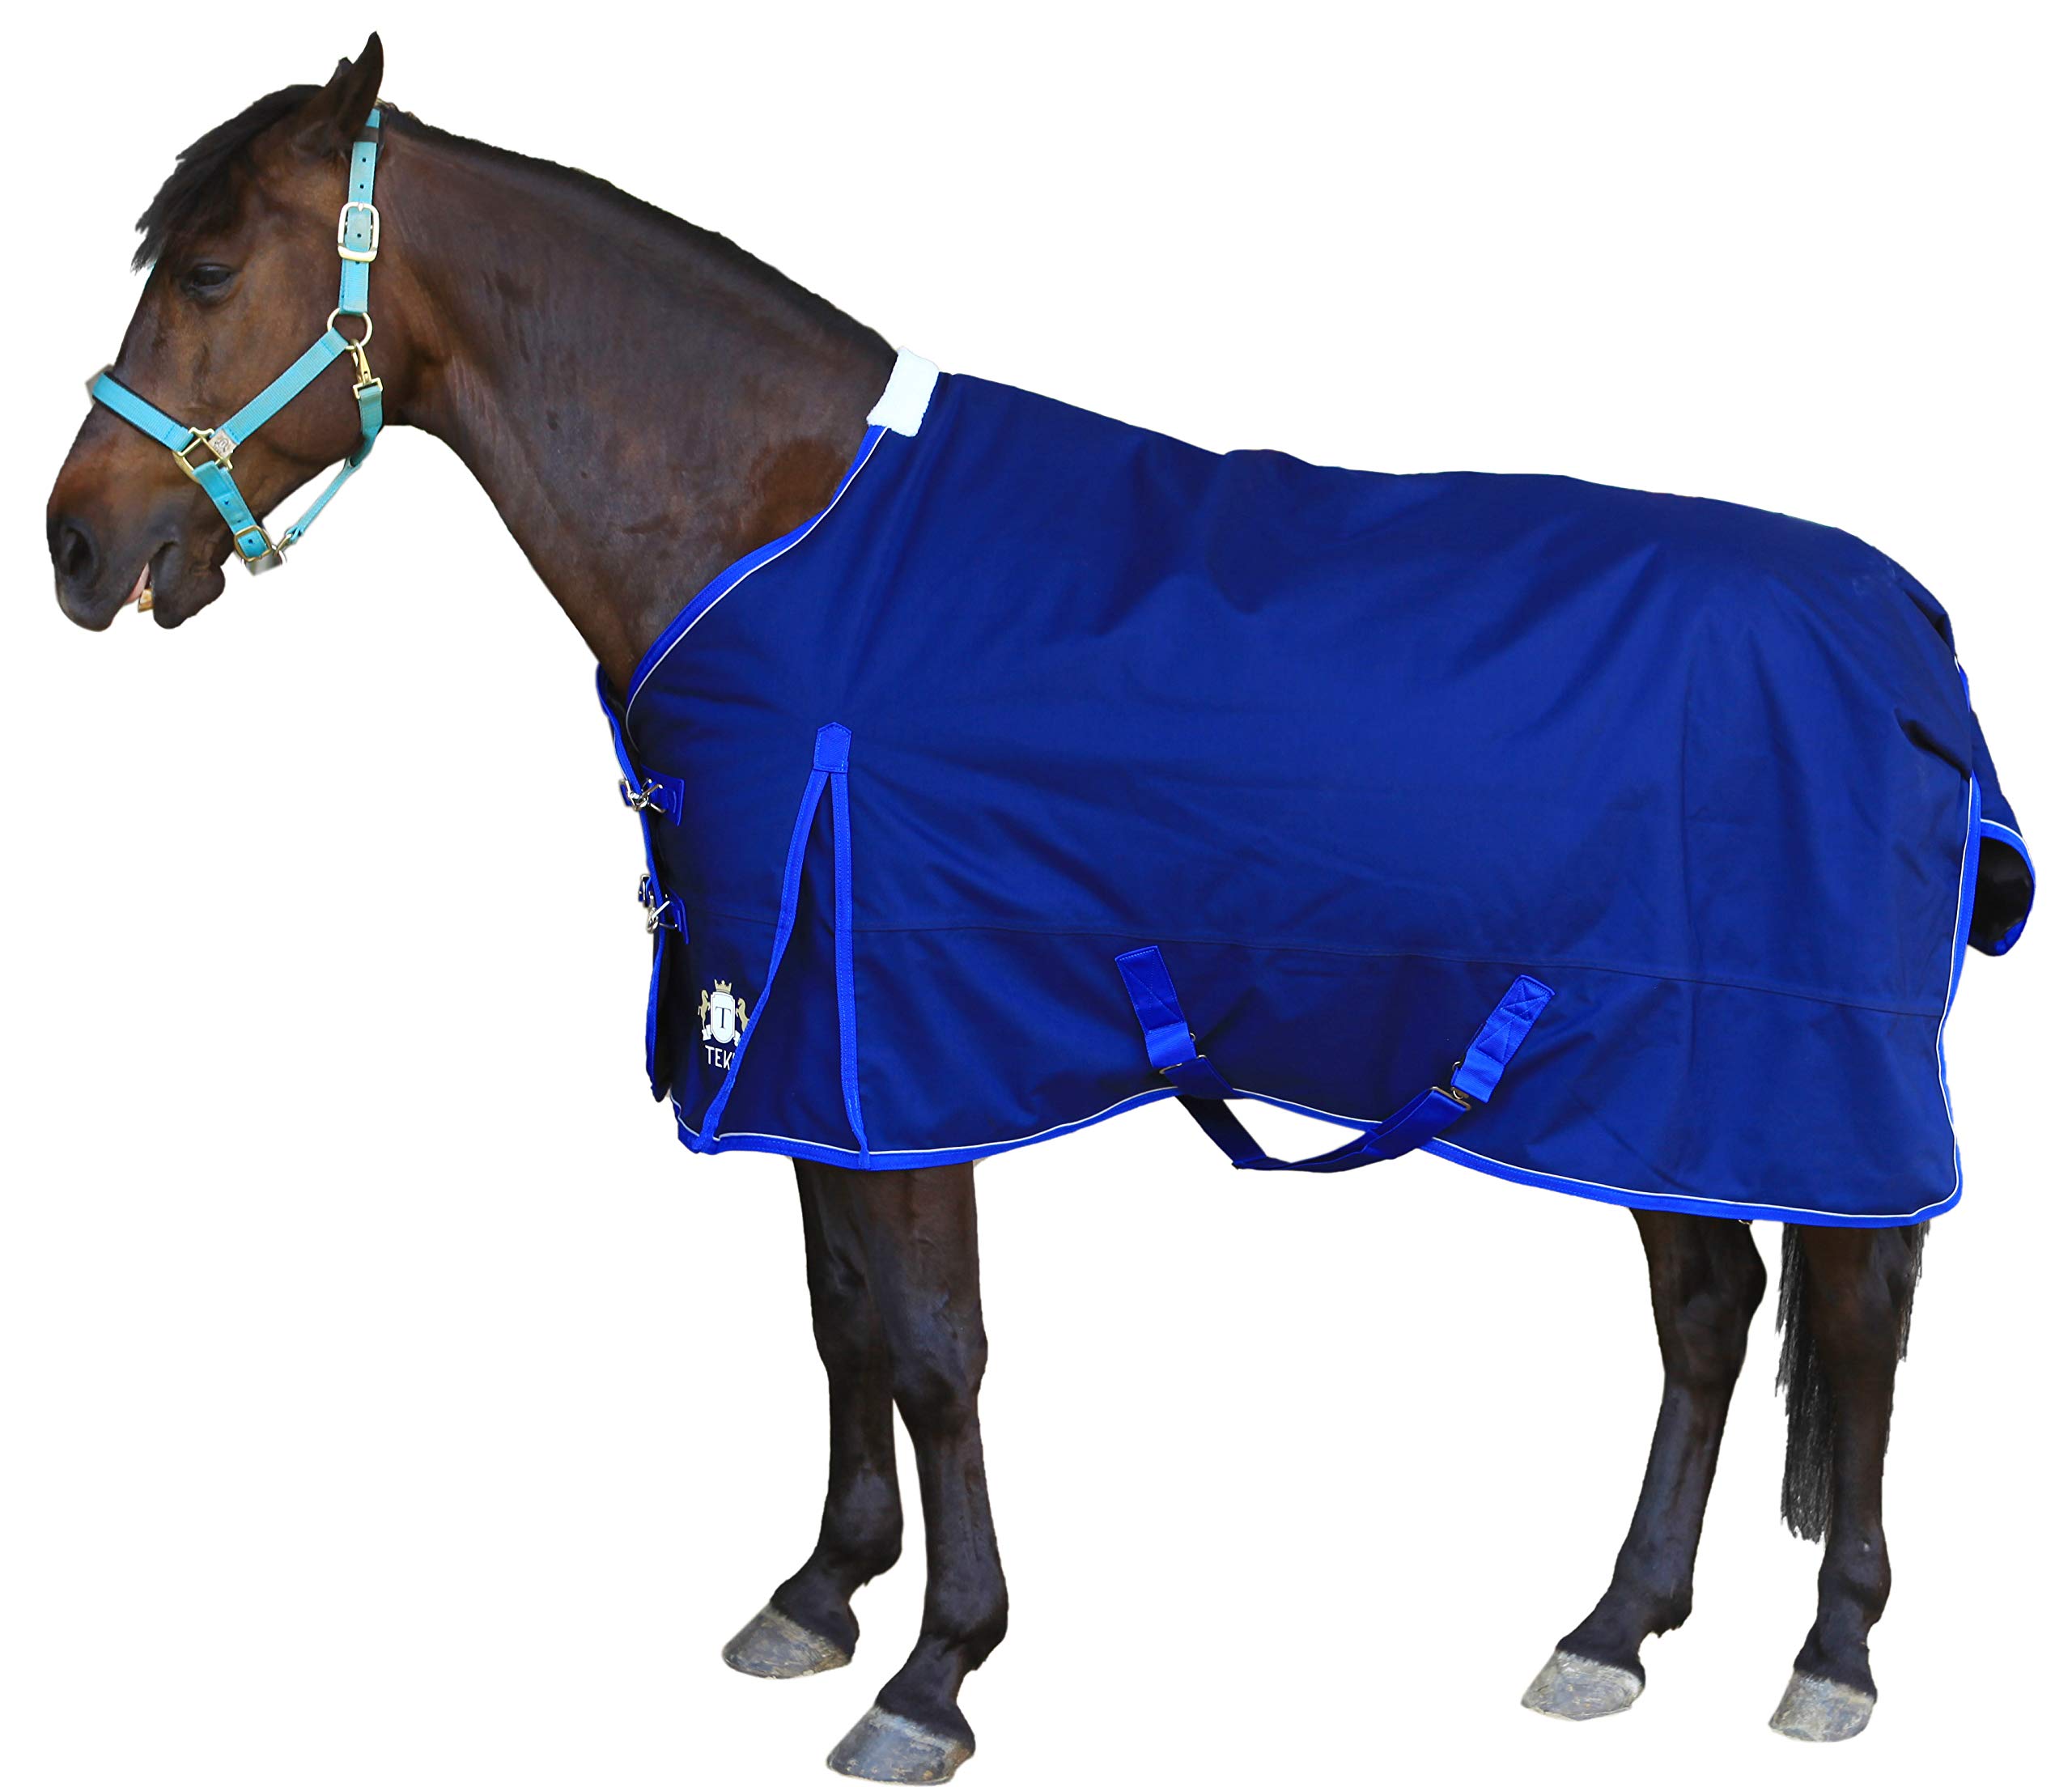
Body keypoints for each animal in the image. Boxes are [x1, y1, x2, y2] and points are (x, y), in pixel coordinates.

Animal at [45, 37, 2034, 1784]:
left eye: (209, 267)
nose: (75, 544)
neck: (780, 530)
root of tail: (1904, 629)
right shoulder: (804, 1051)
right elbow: (841, 1313)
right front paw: (820, 1593)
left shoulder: (896, 1050)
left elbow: (934, 1349)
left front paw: (934, 1670)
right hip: (1654, 1084)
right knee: (1707, 1315)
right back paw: (1612, 1629)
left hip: (1785, 1078)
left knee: (1849, 1325)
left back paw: (1832, 1654)